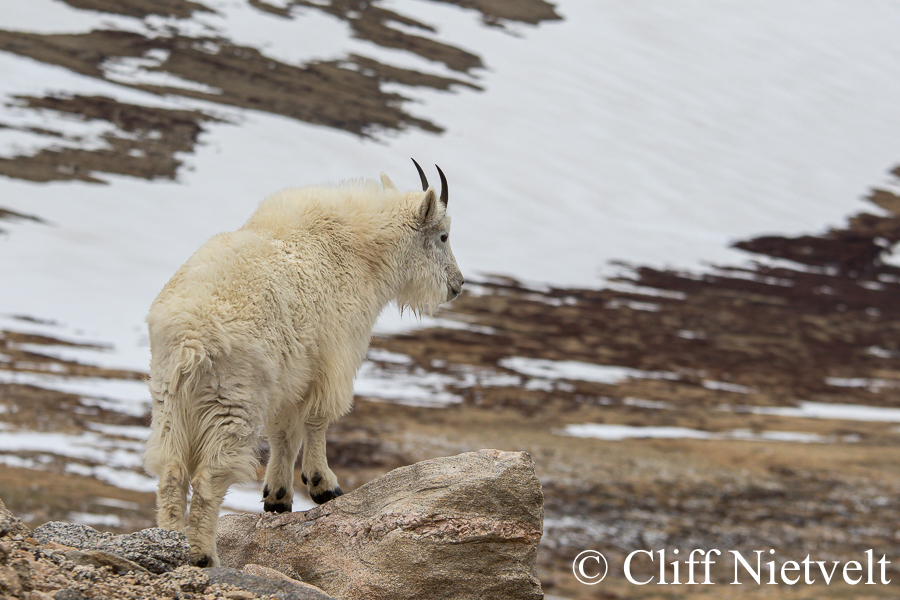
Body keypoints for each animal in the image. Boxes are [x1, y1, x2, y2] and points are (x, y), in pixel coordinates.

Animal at [144, 159, 464, 568]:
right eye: (442, 236)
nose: (457, 285)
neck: (365, 251)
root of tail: (190, 339)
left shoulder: (289, 376)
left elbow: (284, 434)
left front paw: (277, 497)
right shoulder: (334, 357)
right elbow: (316, 420)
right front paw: (322, 485)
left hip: (169, 397)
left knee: (170, 469)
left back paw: (168, 541)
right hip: (231, 399)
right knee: (208, 478)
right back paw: (204, 556)